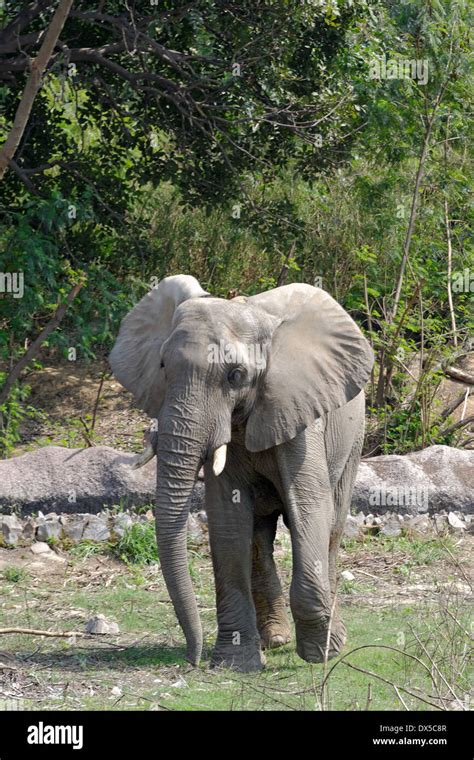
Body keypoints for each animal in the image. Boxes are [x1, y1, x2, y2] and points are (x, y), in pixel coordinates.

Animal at [110, 274, 374, 672]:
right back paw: (275, 638)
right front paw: (235, 662)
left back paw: (325, 638)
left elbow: (309, 507)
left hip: (354, 435)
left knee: (332, 526)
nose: (192, 659)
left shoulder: (298, 412)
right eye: (162, 366)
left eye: (236, 376)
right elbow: (228, 519)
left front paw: (319, 652)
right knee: (258, 538)